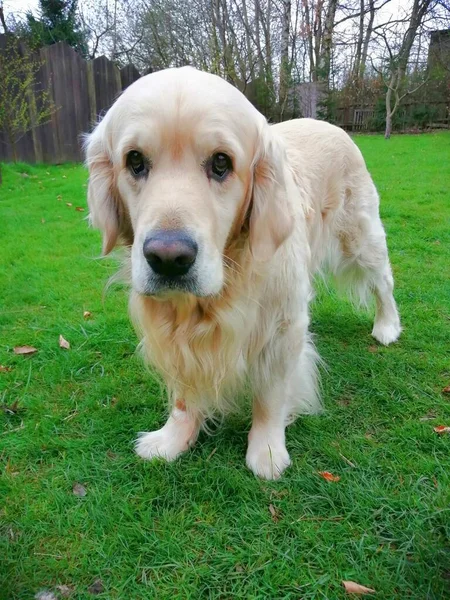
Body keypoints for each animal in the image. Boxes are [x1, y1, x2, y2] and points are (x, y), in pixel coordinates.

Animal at [85, 67, 400, 478]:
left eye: (221, 163)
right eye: (134, 160)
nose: (168, 257)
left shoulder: (283, 326)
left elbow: (270, 395)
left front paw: (266, 451)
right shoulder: (175, 336)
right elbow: (184, 393)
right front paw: (173, 438)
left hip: (362, 240)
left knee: (384, 284)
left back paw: (387, 326)